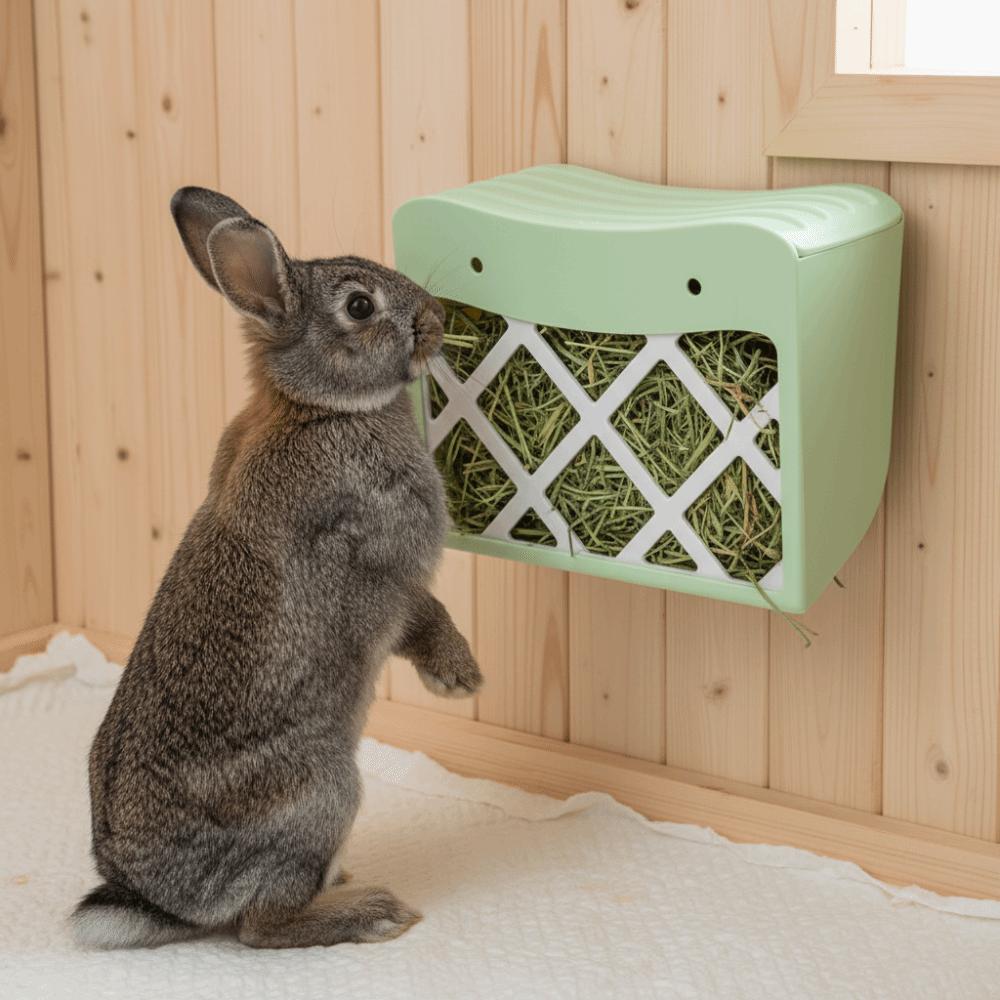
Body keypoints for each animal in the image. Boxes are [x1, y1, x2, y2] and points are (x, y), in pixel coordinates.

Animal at [70, 187, 483, 950]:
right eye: (359, 306)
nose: (436, 319)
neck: (317, 409)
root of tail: (152, 898)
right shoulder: (381, 560)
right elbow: (424, 612)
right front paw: (459, 678)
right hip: (322, 790)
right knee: (261, 928)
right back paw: (372, 910)